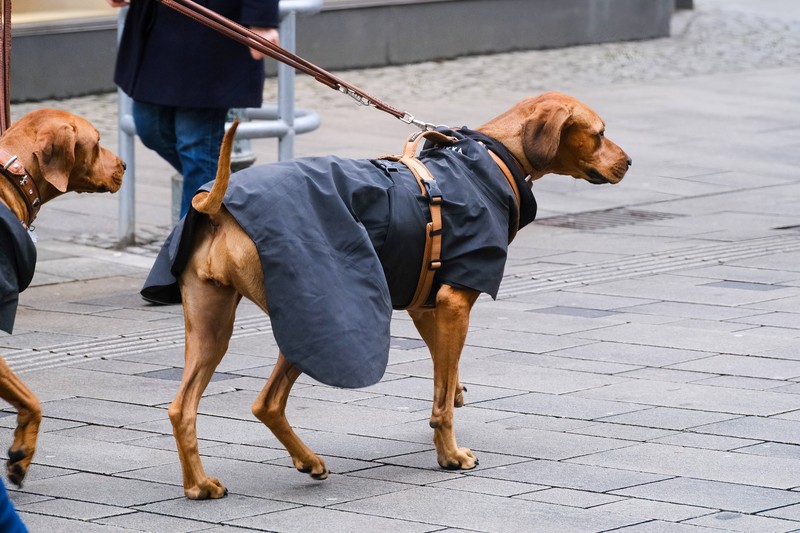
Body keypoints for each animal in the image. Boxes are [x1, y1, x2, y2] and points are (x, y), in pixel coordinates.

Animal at [156, 92, 632, 498]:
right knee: (267, 402)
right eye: (601, 132)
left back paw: (202, 484)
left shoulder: (428, 305)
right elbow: (441, 399)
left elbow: (444, 373)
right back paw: (305, 461)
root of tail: (215, 206)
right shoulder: (456, 301)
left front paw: (455, 394)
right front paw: (450, 455)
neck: (489, 159)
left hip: (215, 326)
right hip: (322, 313)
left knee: (185, 407)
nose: (628, 162)